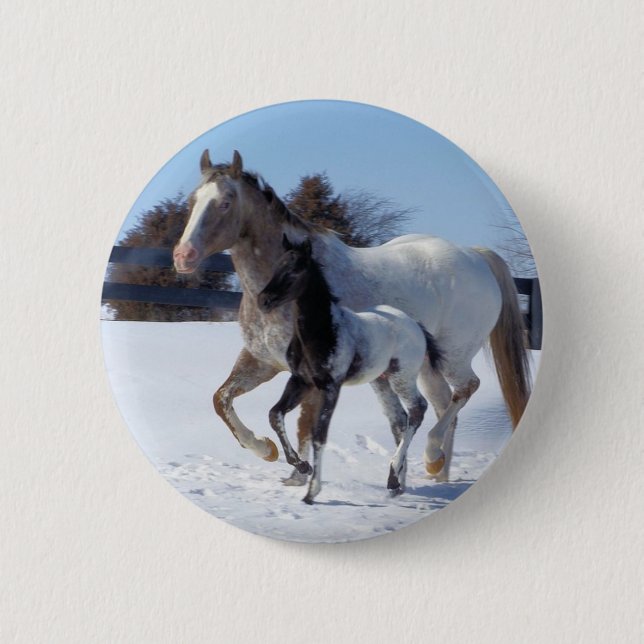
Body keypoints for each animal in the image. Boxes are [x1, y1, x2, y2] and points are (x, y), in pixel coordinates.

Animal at [258, 235, 443, 503]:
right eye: (277, 266)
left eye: (296, 269)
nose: (264, 300)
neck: (322, 331)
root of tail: (416, 325)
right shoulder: (300, 381)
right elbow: (275, 414)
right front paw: (302, 466)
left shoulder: (331, 387)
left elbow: (319, 434)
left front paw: (312, 491)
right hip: (382, 381)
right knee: (400, 419)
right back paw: (396, 483)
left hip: (402, 377)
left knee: (418, 409)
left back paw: (394, 475)